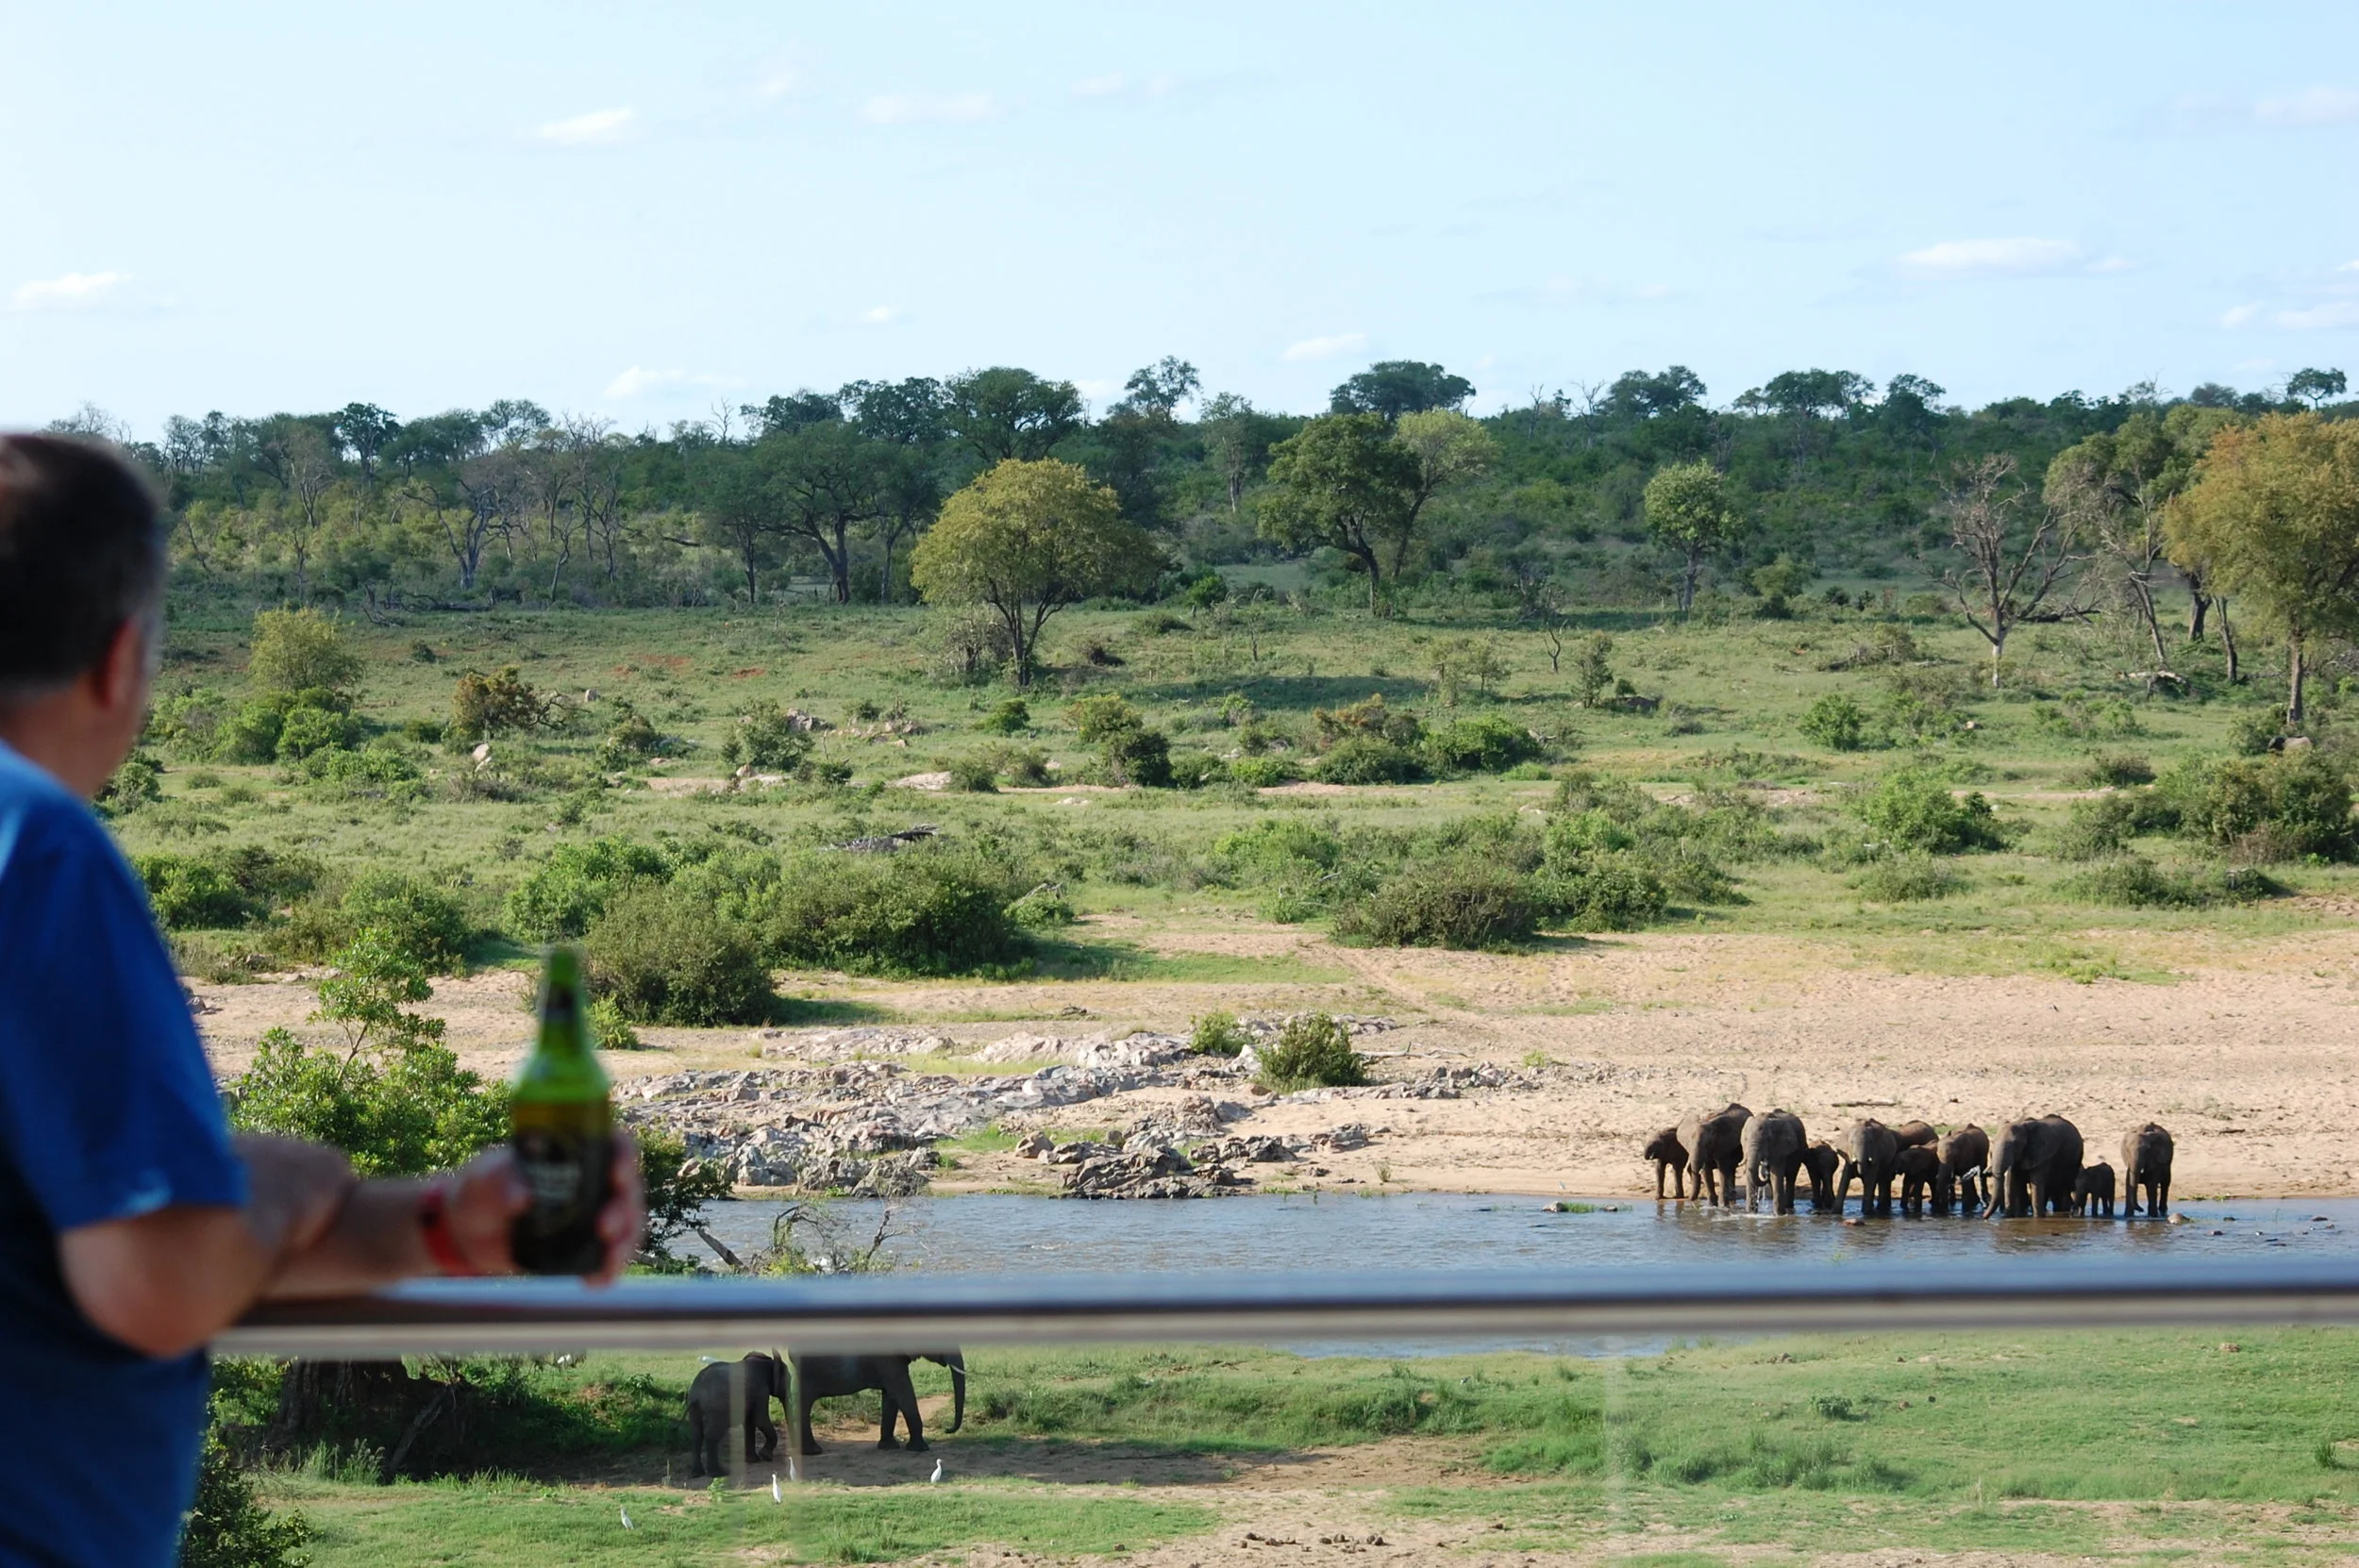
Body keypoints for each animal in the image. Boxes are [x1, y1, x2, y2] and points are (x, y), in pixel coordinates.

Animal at [687, 1351, 788, 1476]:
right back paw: (719, 1473)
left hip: (694, 1409)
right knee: (711, 1436)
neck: (767, 1362)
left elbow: (750, 1422)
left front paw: (753, 1460)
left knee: (696, 1435)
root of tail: (696, 1393)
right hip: (717, 1408)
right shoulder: (761, 1391)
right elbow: (760, 1419)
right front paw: (765, 1457)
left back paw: (696, 1473)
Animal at [792, 1351, 966, 1457]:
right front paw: (920, 1449)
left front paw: (889, 1447)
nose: (947, 1429)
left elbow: (891, 1396)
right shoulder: (887, 1360)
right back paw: (813, 1452)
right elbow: (902, 1391)